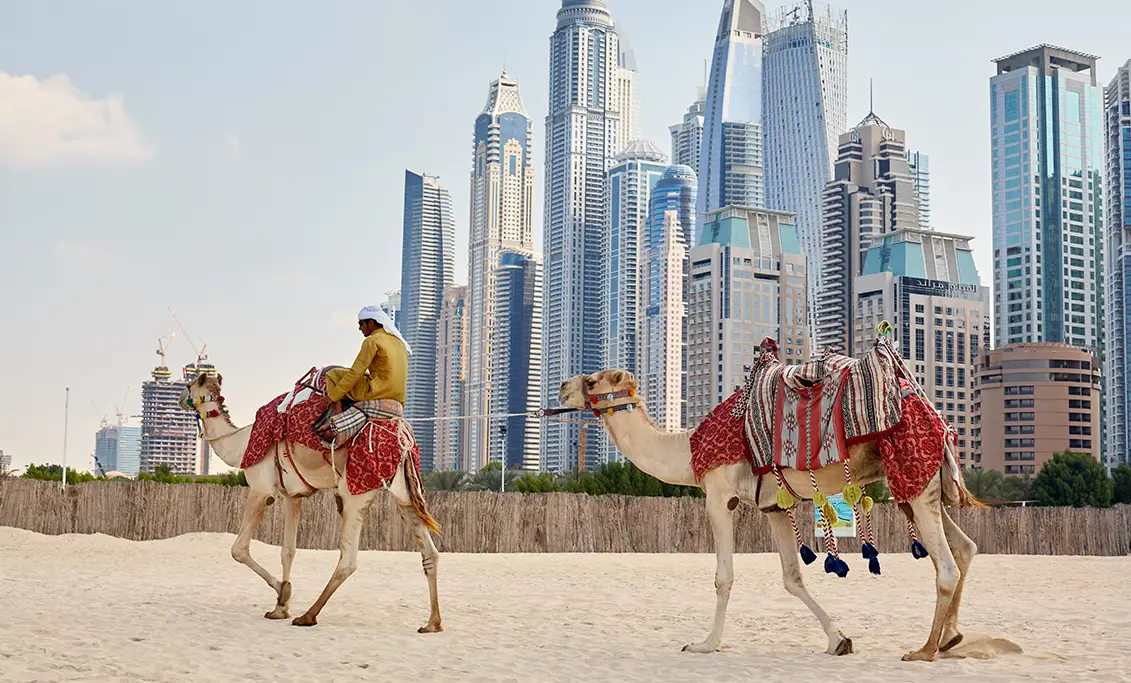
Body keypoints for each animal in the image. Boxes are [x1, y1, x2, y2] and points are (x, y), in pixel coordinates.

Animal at [177, 370, 441, 633]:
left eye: (189, 385)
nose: (179, 399)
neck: (240, 445)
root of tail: (404, 436)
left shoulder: (261, 490)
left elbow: (238, 549)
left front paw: (283, 593)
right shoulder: (292, 496)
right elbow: (288, 551)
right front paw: (280, 608)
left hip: (355, 490)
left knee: (348, 560)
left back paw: (308, 615)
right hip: (404, 492)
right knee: (430, 552)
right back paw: (433, 623)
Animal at [556, 368, 981, 660]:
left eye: (591, 381)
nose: (562, 386)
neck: (688, 448)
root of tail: (938, 419)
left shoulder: (719, 495)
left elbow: (723, 578)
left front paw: (705, 644)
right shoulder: (775, 505)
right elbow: (792, 577)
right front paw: (838, 639)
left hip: (912, 475)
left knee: (946, 565)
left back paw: (924, 650)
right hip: (922, 485)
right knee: (965, 547)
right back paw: (951, 638)